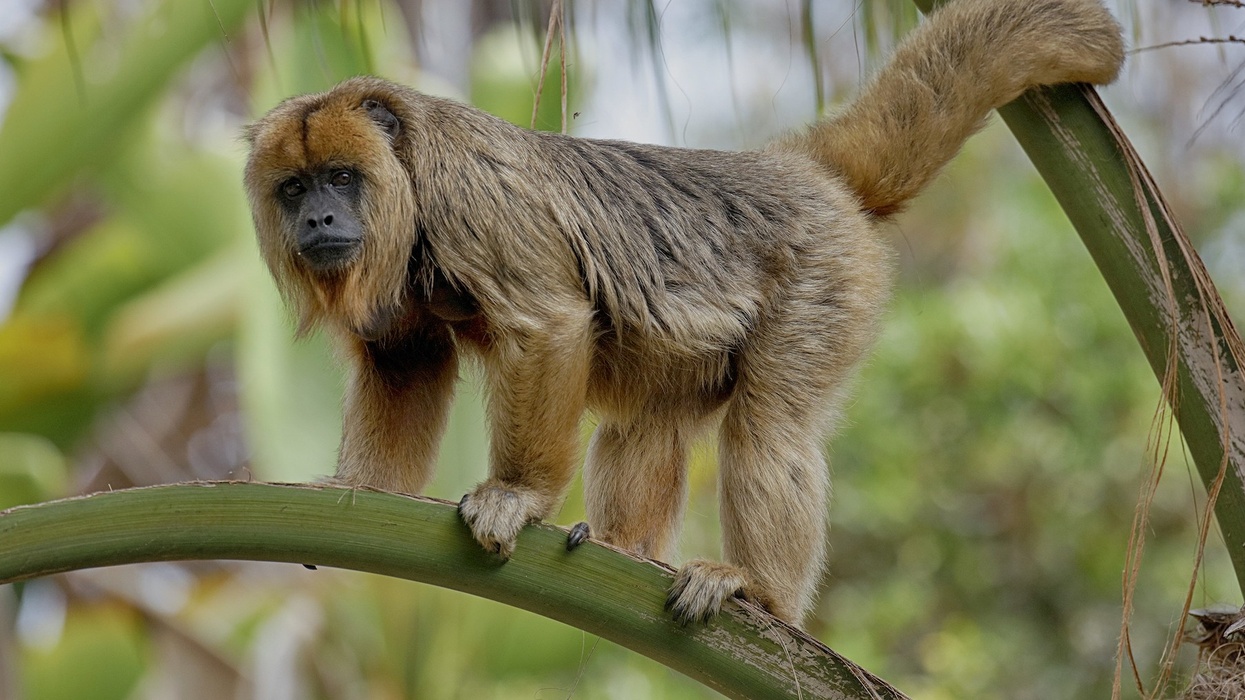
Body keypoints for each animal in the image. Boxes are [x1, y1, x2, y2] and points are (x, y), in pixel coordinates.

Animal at [244, 0, 1124, 626]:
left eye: (341, 177)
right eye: (294, 188)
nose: (318, 219)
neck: (407, 185)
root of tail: (792, 169)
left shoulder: (472, 193)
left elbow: (546, 324)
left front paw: (517, 496)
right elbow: (405, 359)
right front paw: (359, 499)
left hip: (826, 272)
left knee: (770, 430)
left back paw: (759, 596)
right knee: (646, 421)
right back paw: (626, 551)